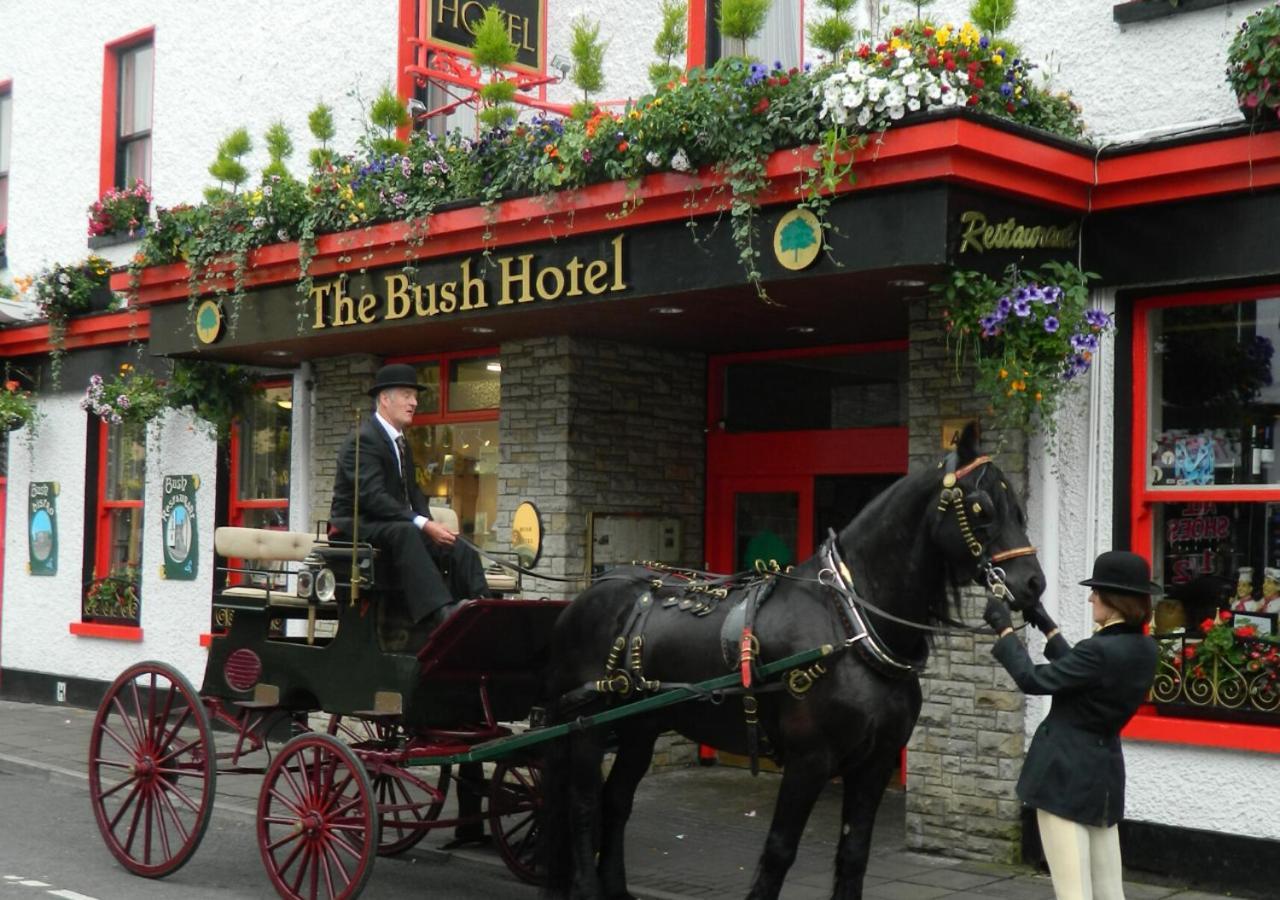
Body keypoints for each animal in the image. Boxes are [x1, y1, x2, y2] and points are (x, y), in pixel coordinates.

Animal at [540, 425, 1049, 900]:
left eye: (1019, 507)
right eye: (982, 508)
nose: (1032, 584)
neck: (849, 623)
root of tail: (592, 592)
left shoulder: (876, 763)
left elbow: (854, 853)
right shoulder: (810, 761)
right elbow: (779, 850)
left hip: (641, 727)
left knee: (617, 800)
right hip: (585, 726)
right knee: (583, 805)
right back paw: (586, 886)